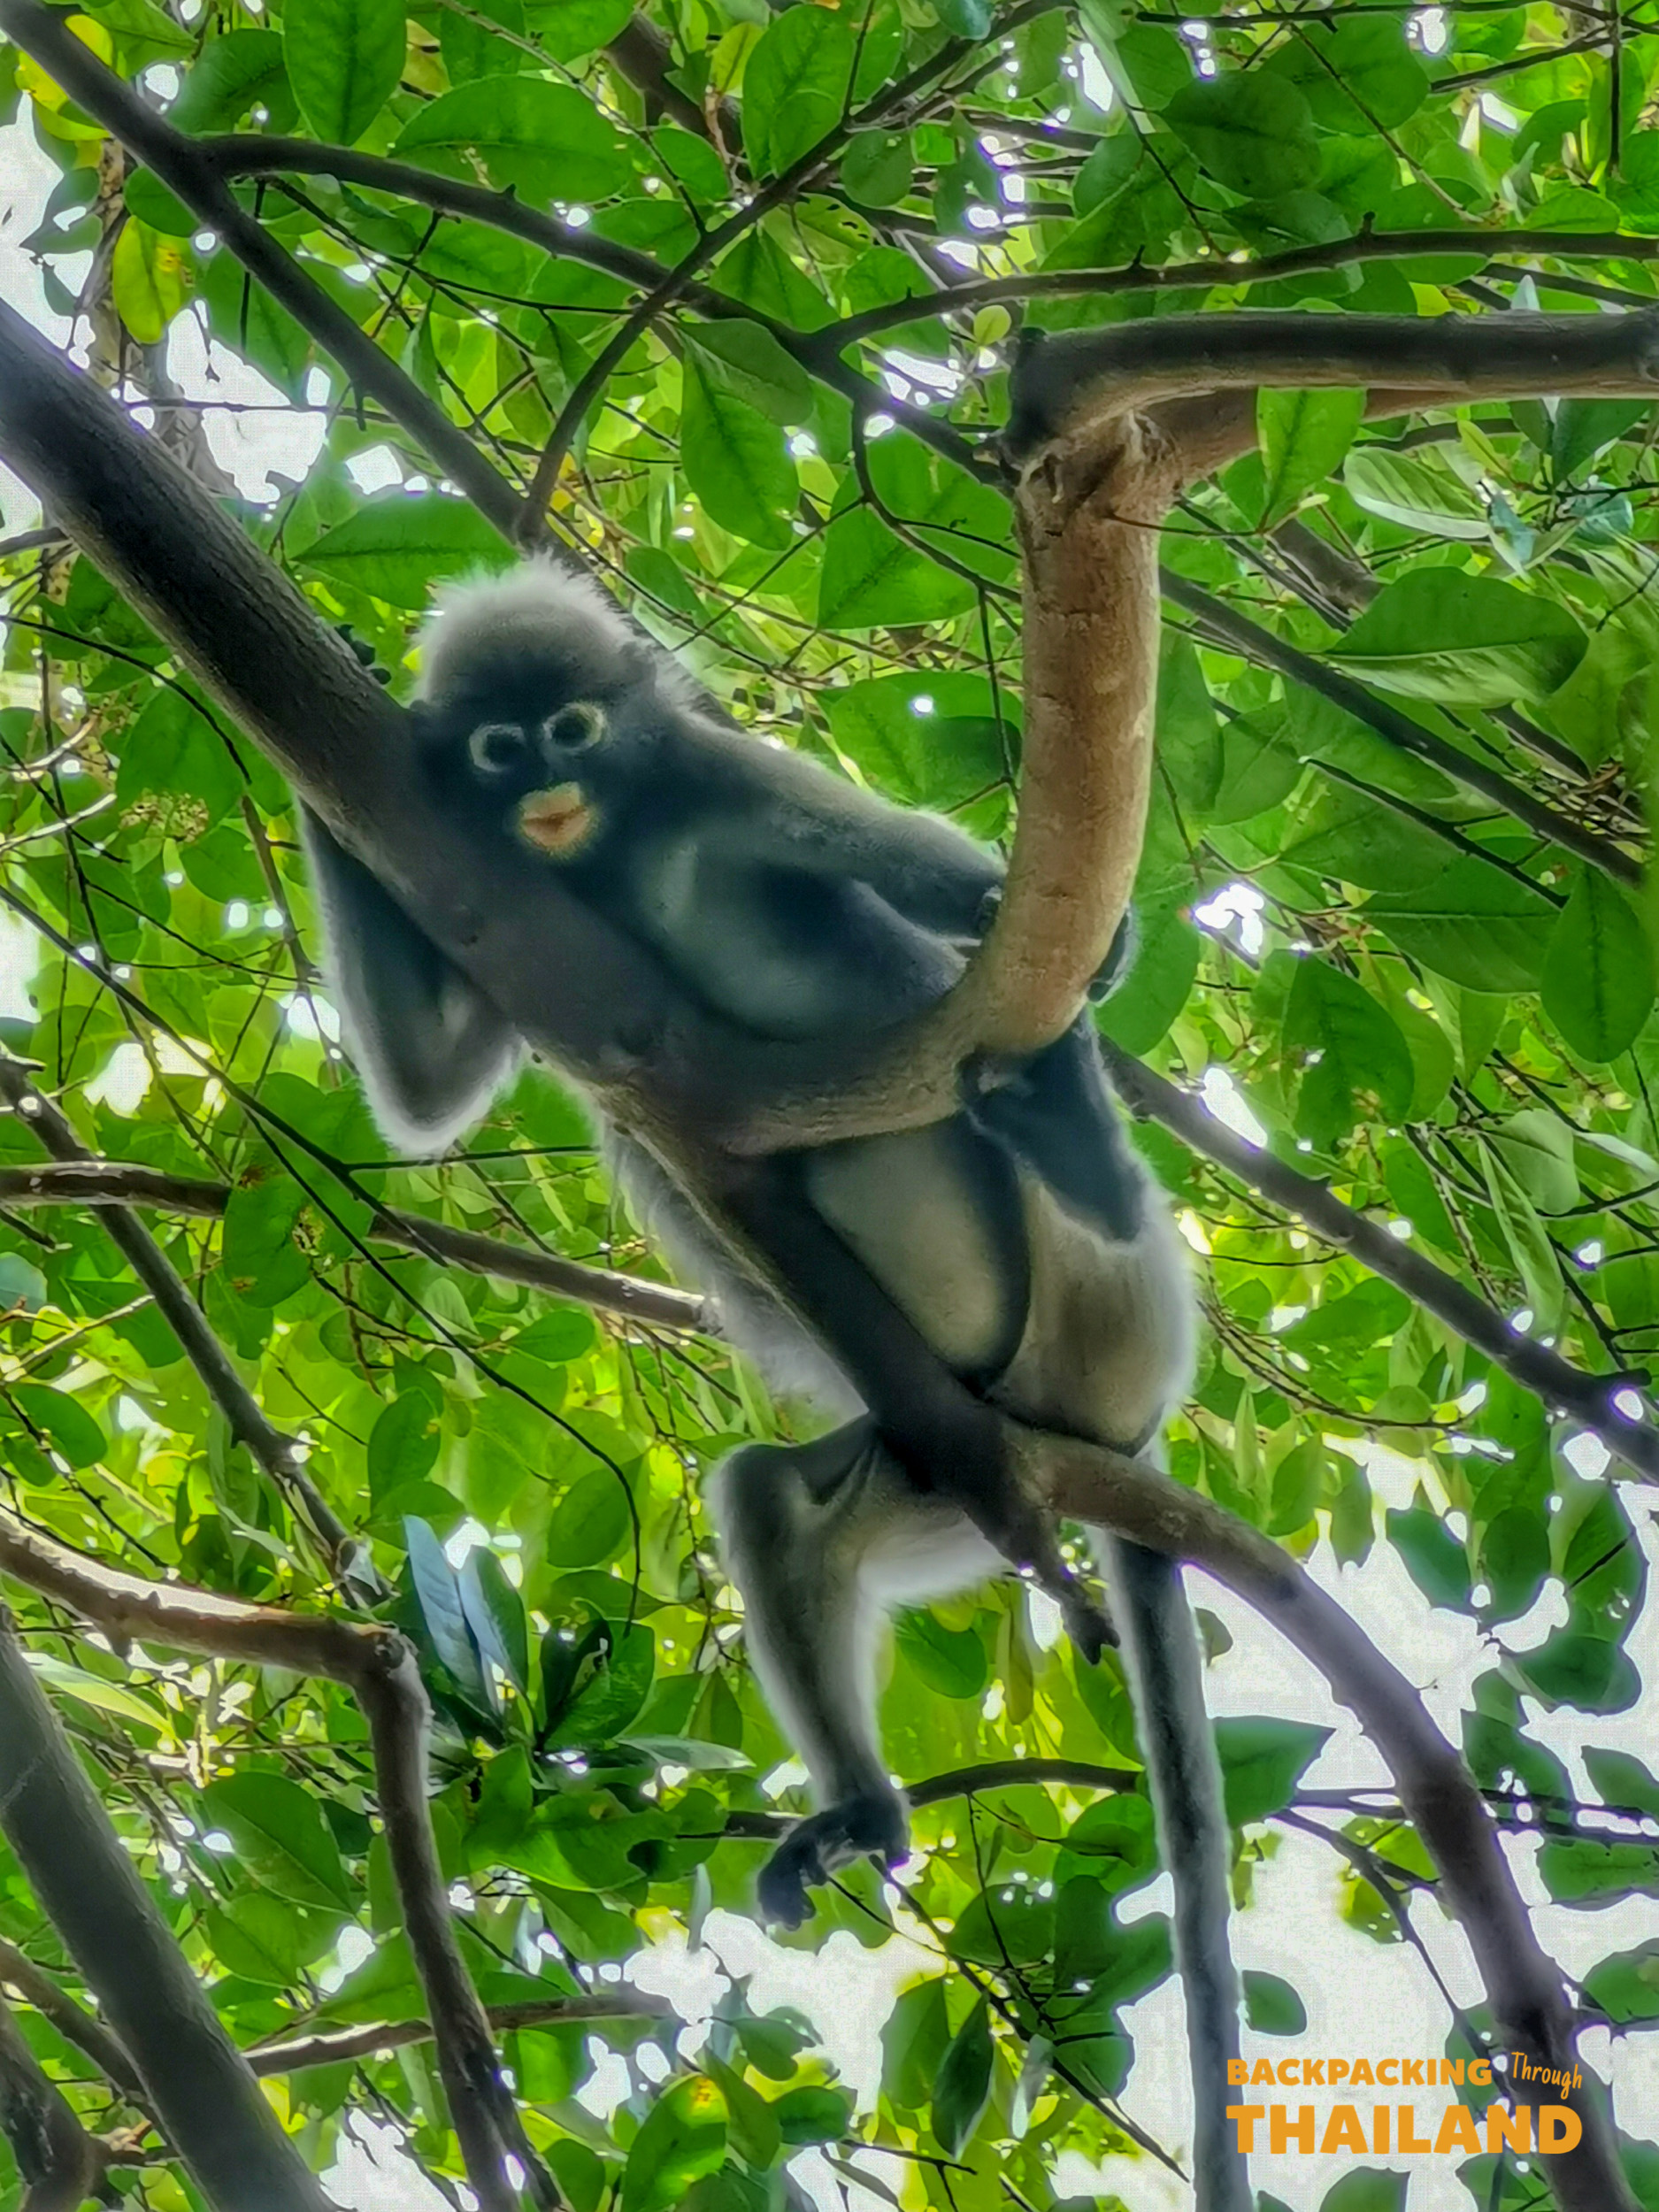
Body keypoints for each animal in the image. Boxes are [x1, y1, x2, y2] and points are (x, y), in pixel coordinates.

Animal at [300, 563, 1249, 2210]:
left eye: (573, 727)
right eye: (494, 747)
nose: (541, 784)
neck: (613, 855)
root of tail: (1107, 1448)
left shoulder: (715, 777)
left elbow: (1028, 916)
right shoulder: (494, 905)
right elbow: (423, 1098)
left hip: (1112, 1339)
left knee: (1060, 1142)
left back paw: (1067, 1127)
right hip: (931, 1465)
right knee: (766, 1497)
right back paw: (865, 1805)